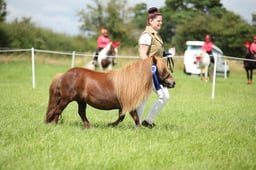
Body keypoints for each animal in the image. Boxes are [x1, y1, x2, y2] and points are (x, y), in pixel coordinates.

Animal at [45, 56, 175, 128]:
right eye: (163, 70)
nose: (173, 82)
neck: (133, 79)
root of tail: (63, 75)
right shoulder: (128, 104)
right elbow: (135, 117)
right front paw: (138, 129)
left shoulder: (123, 106)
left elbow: (122, 117)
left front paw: (110, 125)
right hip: (66, 99)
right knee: (57, 110)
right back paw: (54, 124)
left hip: (81, 101)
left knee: (81, 113)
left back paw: (89, 127)